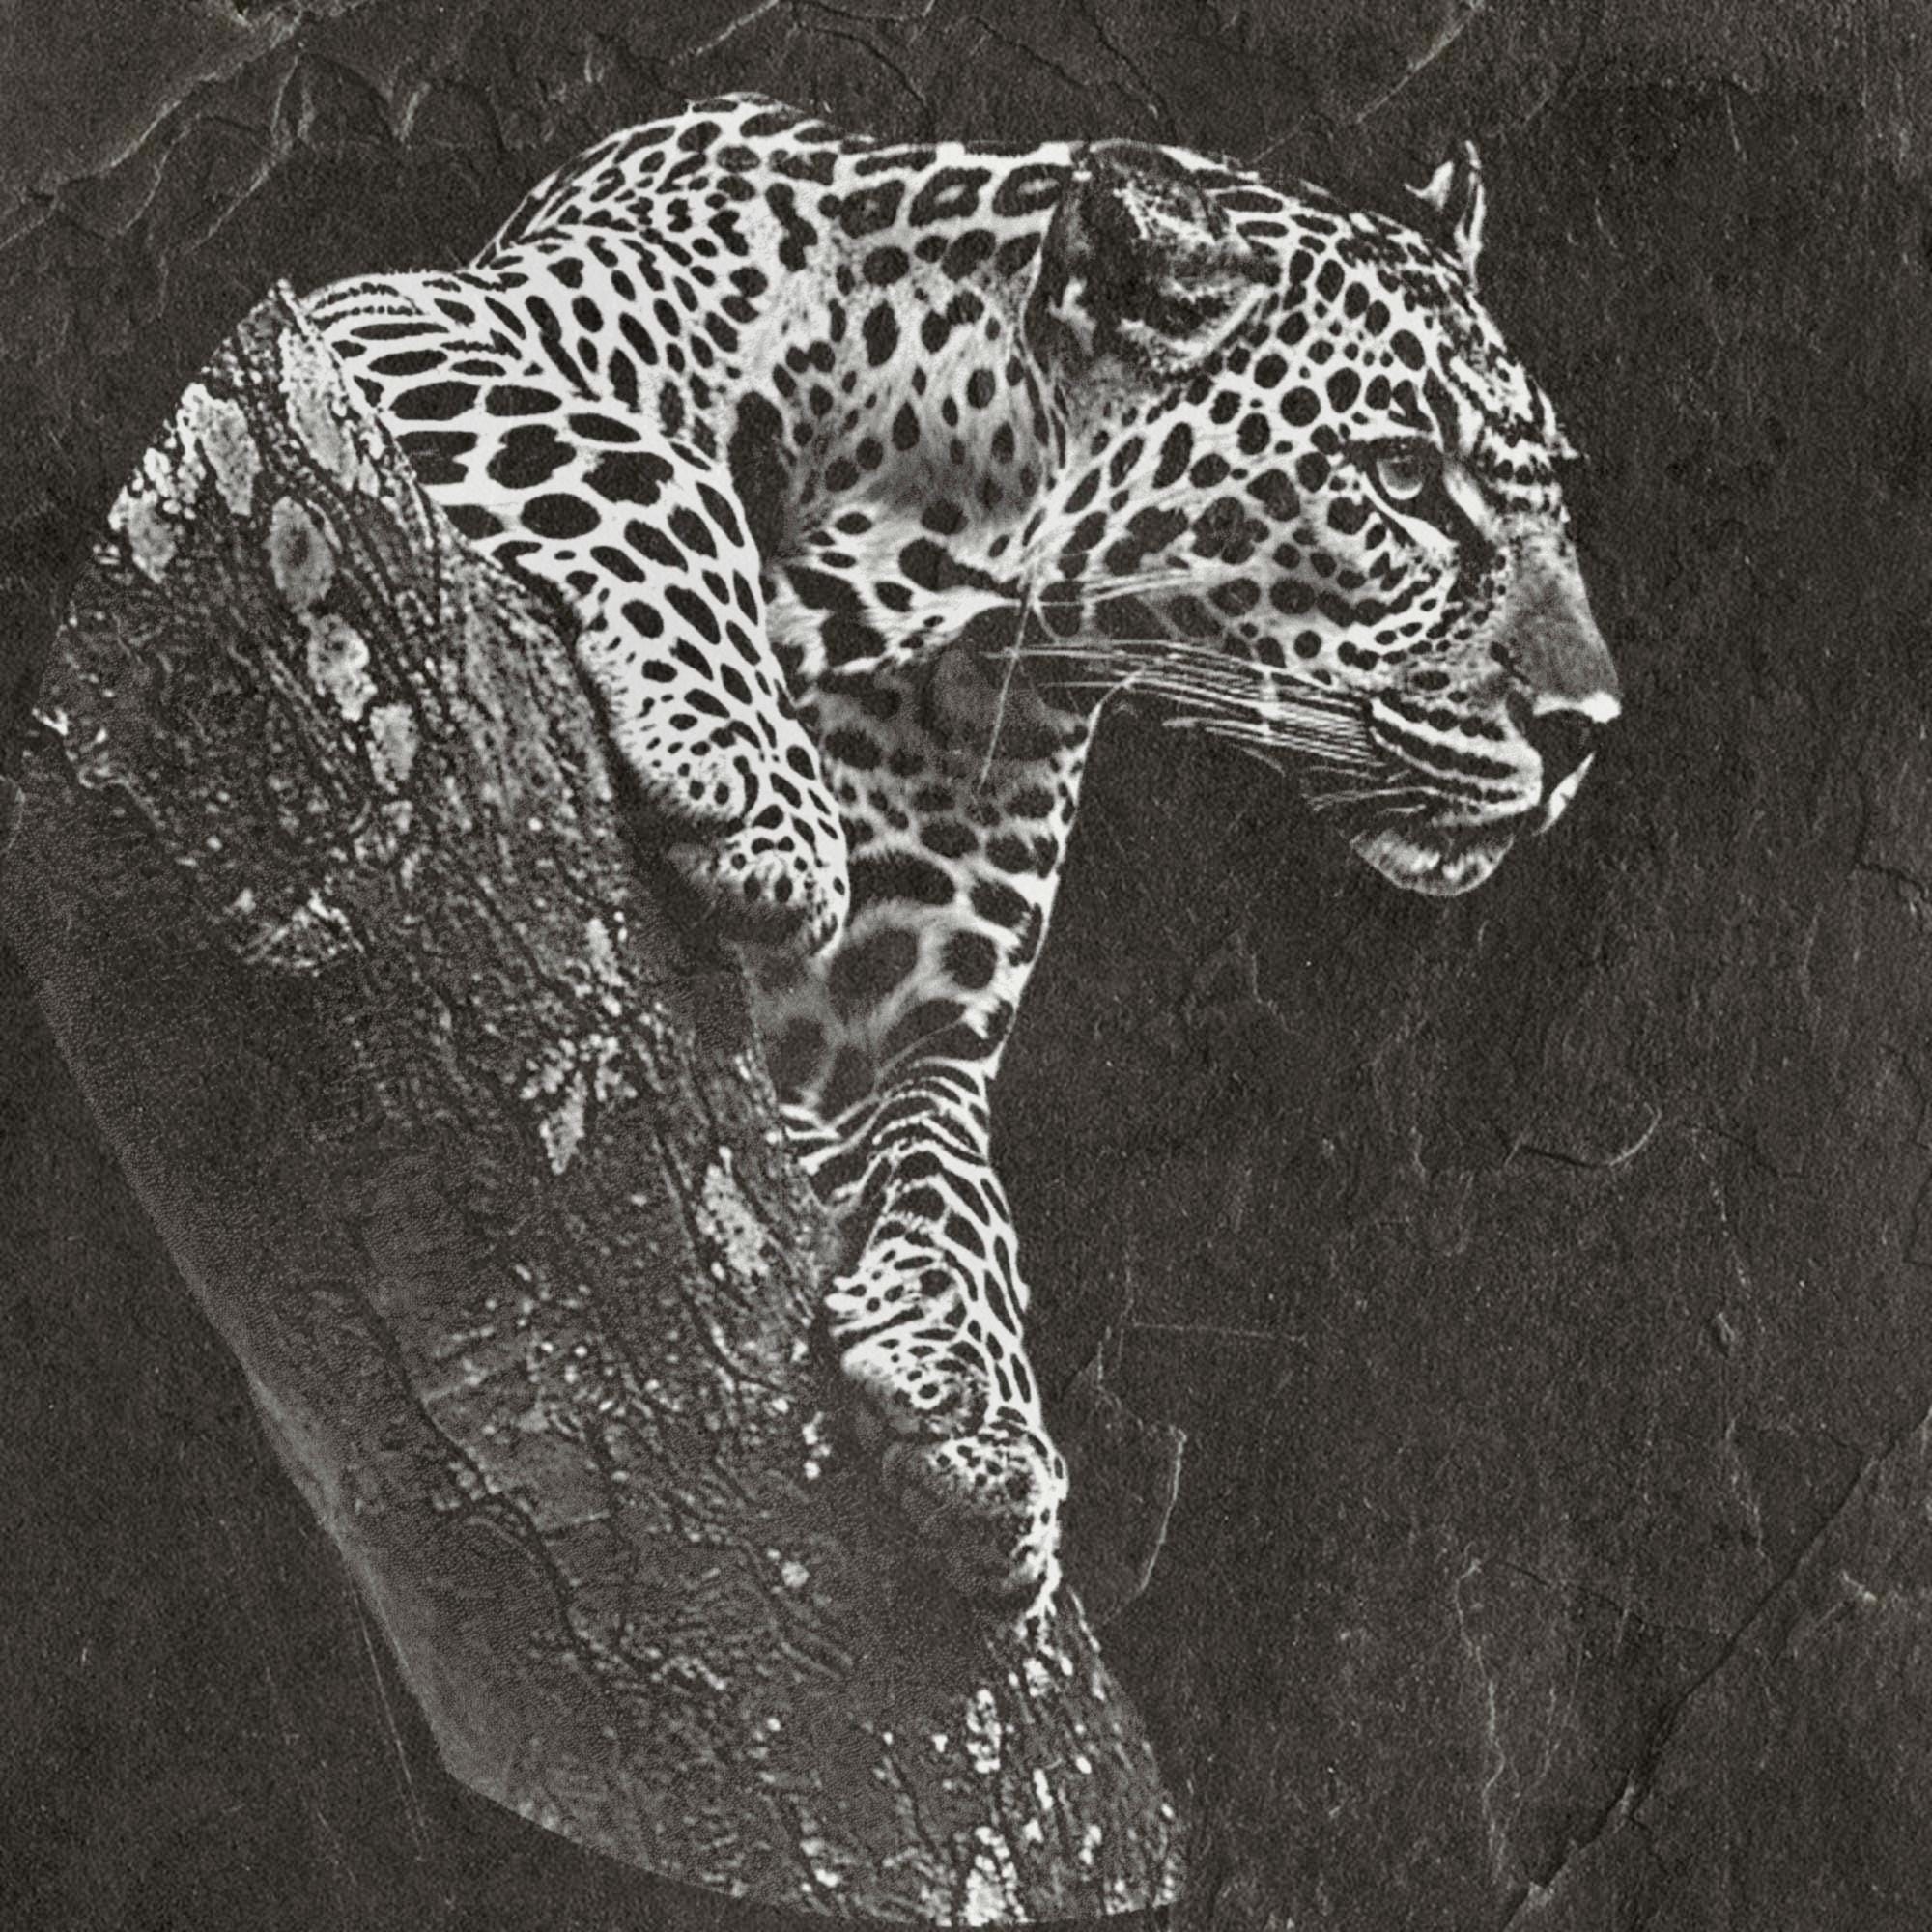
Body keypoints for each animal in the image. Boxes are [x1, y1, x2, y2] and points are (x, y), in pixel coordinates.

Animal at [302, 93, 1621, 1626]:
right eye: (1403, 477)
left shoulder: (911, 1029)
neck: (938, 549)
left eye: (1551, 495)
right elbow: (633, 460)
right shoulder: (380, 314)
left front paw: (977, 1394)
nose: (1589, 728)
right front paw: (749, 767)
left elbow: (955, 1163)